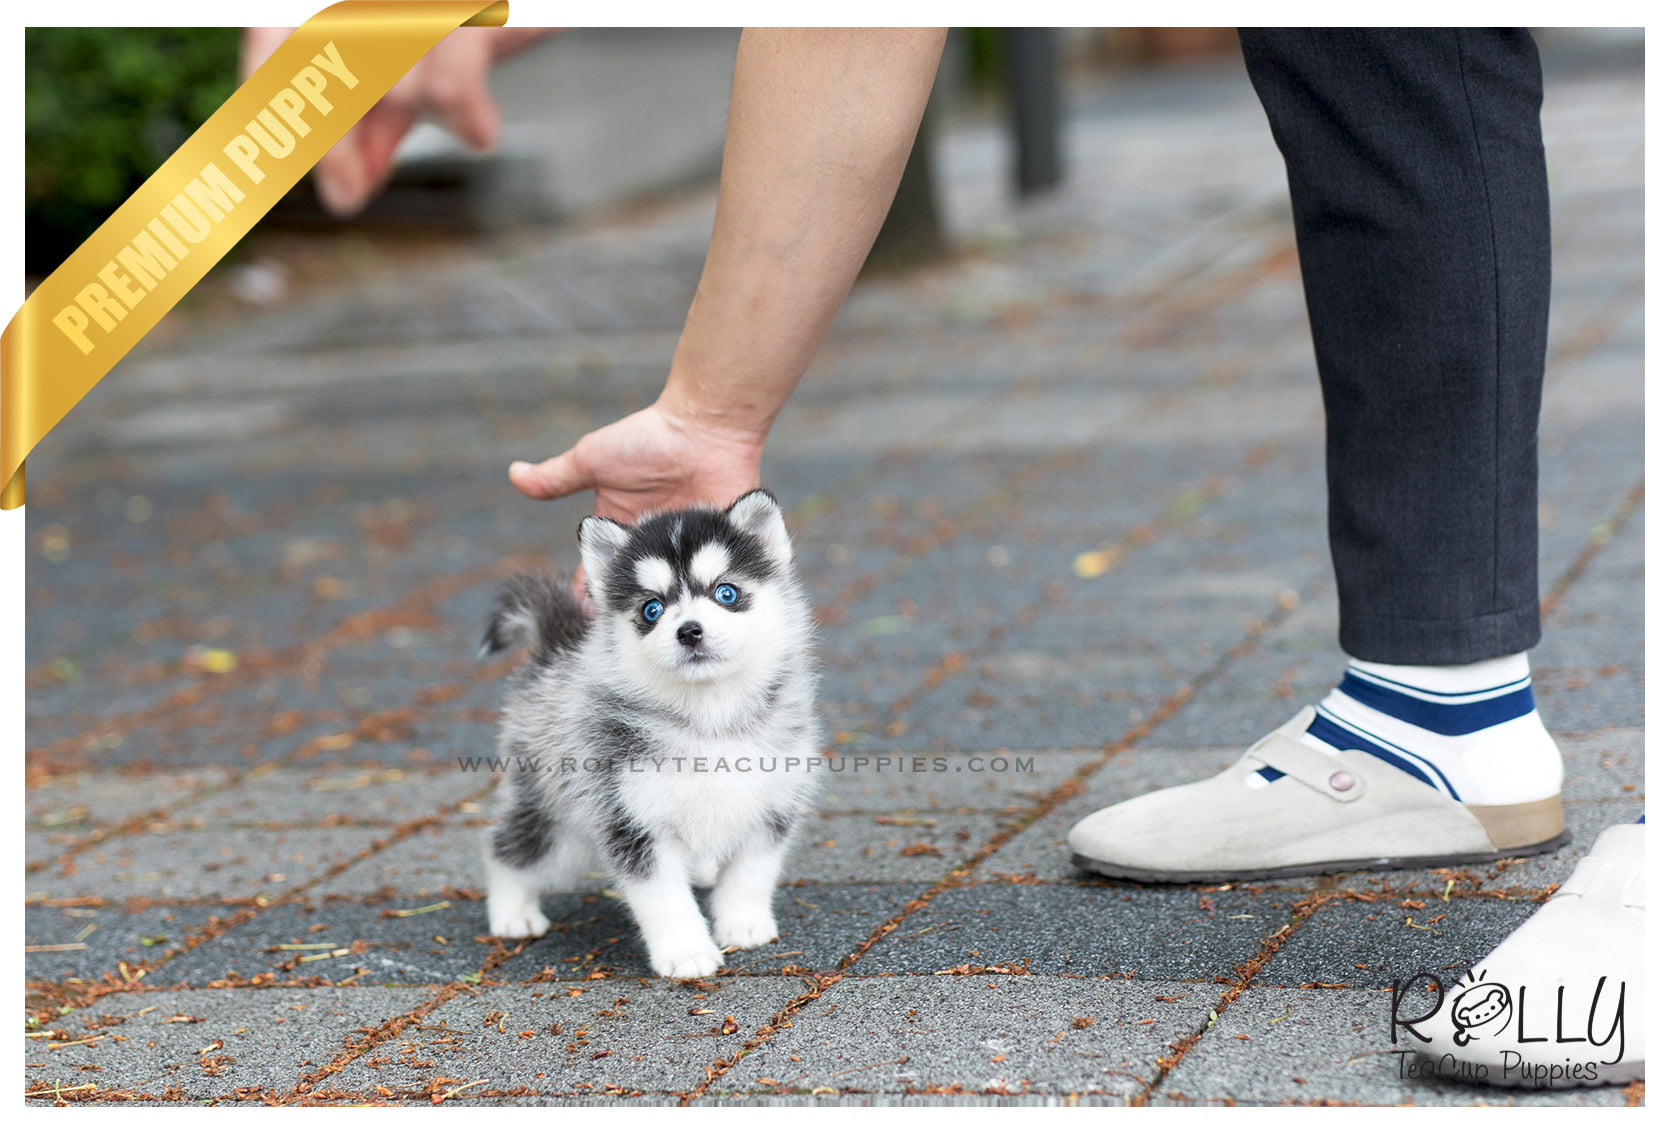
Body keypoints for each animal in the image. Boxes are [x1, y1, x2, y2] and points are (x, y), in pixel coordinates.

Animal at [477, 491, 822, 982]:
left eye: (727, 592)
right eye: (651, 609)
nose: (689, 631)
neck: (709, 716)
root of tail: (557, 650)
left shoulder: (772, 802)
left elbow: (752, 873)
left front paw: (744, 923)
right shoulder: (631, 819)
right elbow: (663, 898)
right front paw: (686, 952)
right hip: (556, 814)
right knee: (508, 849)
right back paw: (513, 913)